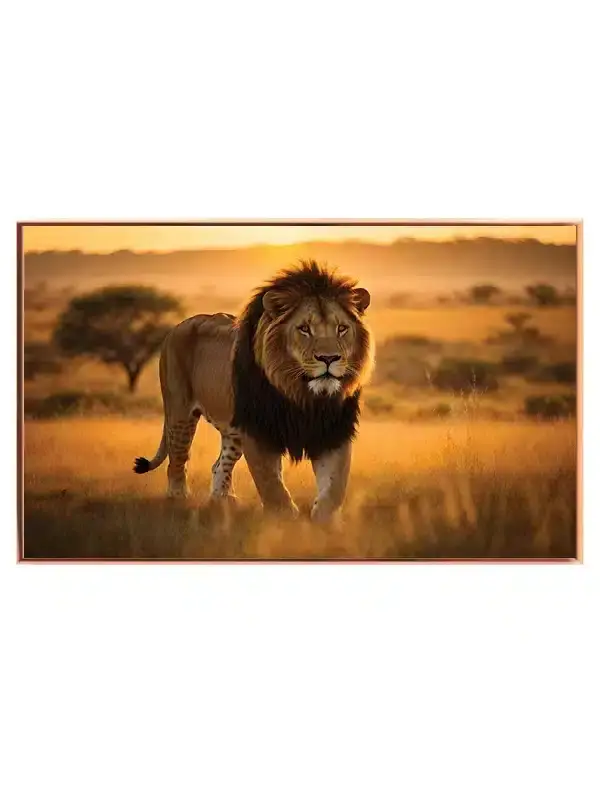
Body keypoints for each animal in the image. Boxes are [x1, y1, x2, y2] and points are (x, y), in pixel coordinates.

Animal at [133, 260, 374, 522]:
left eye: (341, 328)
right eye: (304, 329)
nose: (329, 358)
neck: (304, 396)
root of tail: (179, 325)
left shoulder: (333, 431)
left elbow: (334, 485)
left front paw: (323, 523)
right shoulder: (258, 432)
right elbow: (271, 484)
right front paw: (286, 521)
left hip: (233, 432)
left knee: (218, 465)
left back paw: (222, 501)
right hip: (180, 412)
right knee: (177, 460)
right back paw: (178, 500)